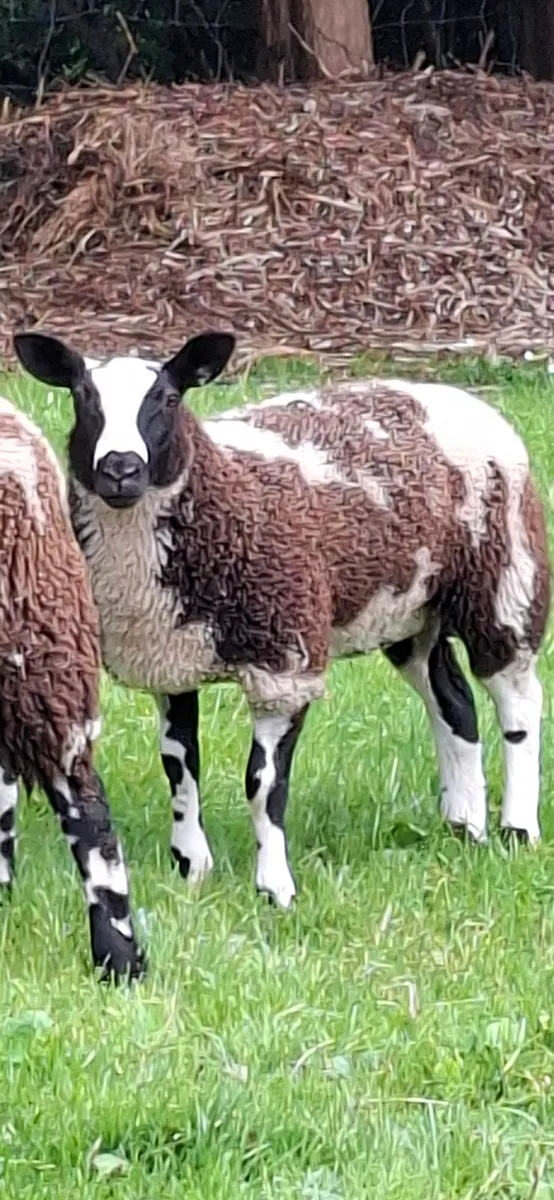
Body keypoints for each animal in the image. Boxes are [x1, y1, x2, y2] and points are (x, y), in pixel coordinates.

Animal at [13, 331, 551, 910]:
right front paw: (193, 868)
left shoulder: (286, 664)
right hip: (411, 611)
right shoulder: (170, 658)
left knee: (518, 705)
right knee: (454, 704)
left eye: (168, 399)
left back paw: (517, 828)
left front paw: (275, 888)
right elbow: (181, 768)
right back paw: (463, 826)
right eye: (82, 398)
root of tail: (457, 397)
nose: (120, 470)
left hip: (504, 580)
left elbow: (263, 785)